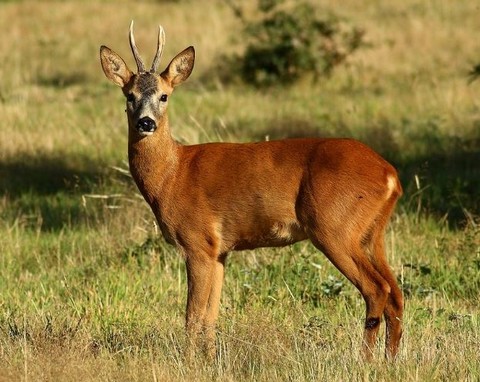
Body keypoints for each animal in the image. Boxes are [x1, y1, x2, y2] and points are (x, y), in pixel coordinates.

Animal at [99, 21, 404, 362]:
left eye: (164, 96)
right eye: (130, 95)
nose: (146, 123)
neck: (173, 174)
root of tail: (390, 175)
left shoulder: (198, 242)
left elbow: (192, 315)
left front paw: (188, 363)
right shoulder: (220, 250)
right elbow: (211, 315)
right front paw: (210, 360)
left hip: (334, 227)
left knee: (376, 289)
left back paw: (365, 361)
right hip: (371, 234)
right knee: (396, 294)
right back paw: (390, 362)